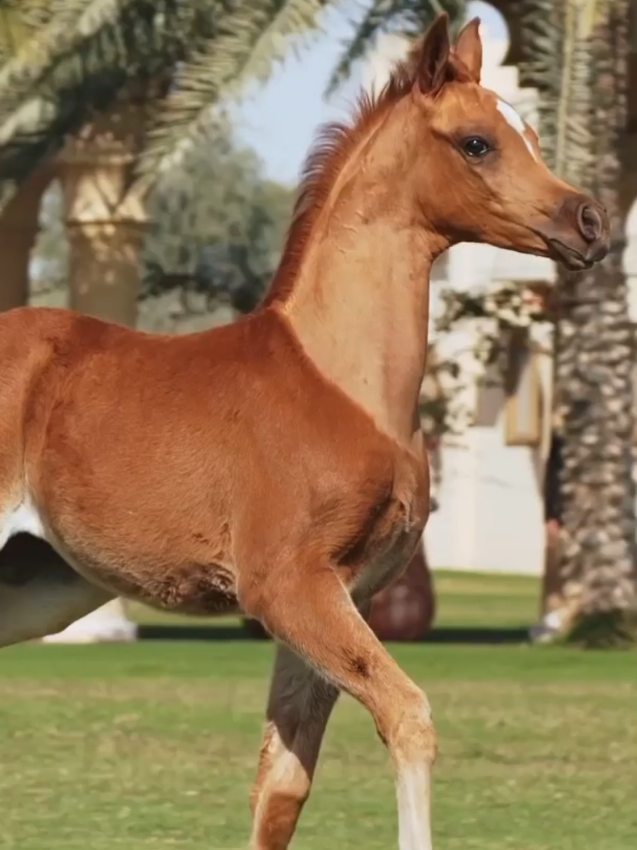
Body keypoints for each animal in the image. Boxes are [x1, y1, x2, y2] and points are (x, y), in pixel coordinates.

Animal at [0, 13, 609, 850]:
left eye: (534, 136)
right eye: (477, 142)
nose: (589, 222)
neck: (343, 381)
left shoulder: (339, 594)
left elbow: (281, 786)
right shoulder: (289, 588)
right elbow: (407, 717)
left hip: (40, 584)